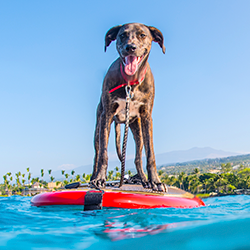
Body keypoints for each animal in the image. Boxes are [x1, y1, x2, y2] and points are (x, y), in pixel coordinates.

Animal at [90, 23, 166, 191]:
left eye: (142, 35)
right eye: (122, 35)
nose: (130, 47)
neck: (130, 82)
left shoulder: (146, 116)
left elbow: (150, 154)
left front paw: (155, 181)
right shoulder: (106, 115)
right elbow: (103, 154)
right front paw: (99, 178)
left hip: (137, 129)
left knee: (138, 157)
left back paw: (143, 179)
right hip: (98, 128)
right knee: (97, 153)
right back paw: (93, 177)